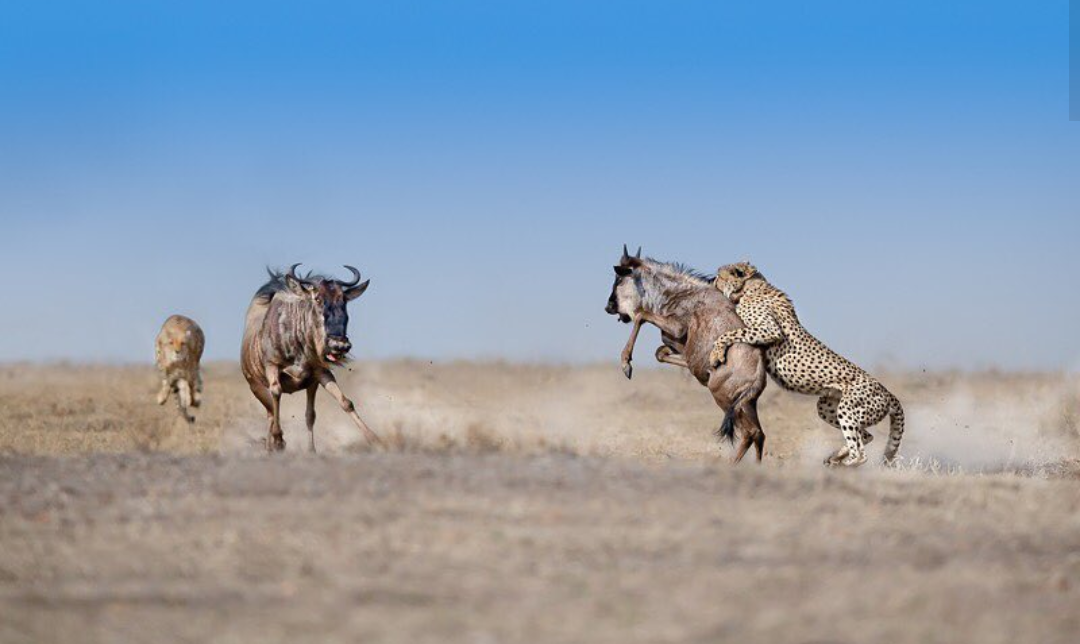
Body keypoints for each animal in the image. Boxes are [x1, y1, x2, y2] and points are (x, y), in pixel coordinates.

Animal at [708, 262, 902, 468]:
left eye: (719, 276)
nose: (712, 281)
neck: (751, 288)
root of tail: (888, 392)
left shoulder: (768, 330)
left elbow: (730, 333)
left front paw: (715, 354)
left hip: (848, 409)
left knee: (861, 454)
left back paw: (843, 462)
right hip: (827, 407)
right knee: (865, 436)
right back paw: (835, 456)